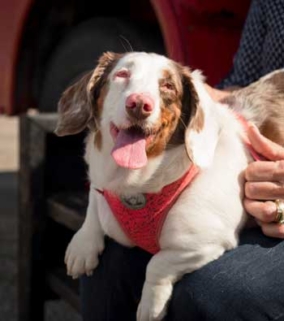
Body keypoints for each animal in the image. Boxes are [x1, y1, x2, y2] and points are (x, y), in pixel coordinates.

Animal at [55, 51, 284, 318]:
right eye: (122, 74)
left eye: (168, 86)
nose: (139, 104)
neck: (135, 185)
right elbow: (95, 197)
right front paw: (84, 243)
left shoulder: (202, 243)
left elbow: (157, 264)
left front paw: (151, 303)